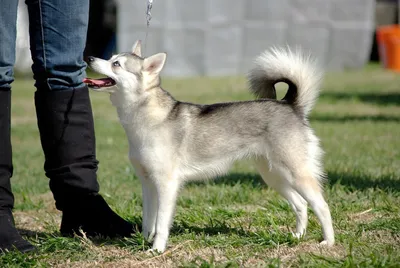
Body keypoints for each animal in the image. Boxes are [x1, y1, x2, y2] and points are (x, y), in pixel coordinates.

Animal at [83, 40, 334, 252]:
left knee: (322, 206)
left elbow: (161, 223)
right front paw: (145, 242)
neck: (143, 119)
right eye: (110, 57)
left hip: (296, 174)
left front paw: (157, 250)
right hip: (275, 176)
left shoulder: (166, 184)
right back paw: (297, 236)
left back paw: (328, 242)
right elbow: (148, 221)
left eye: (116, 64)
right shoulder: (147, 183)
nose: (89, 58)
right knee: (301, 204)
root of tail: (289, 104)